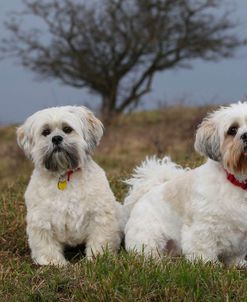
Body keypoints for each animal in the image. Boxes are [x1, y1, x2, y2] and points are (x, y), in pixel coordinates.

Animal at [16, 105, 123, 266]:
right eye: (45, 132)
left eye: (67, 129)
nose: (56, 138)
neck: (64, 175)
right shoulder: (41, 221)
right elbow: (46, 245)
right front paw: (53, 263)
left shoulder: (100, 215)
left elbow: (100, 240)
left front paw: (97, 258)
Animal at [124, 102, 247, 266]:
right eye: (232, 130)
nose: (246, 135)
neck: (237, 181)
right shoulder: (203, 226)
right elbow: (203, 249)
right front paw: (208, 265)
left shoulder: (240, 233)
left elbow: (235, 255)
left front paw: (238, 265)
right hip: (148, 236)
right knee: (147, 251)